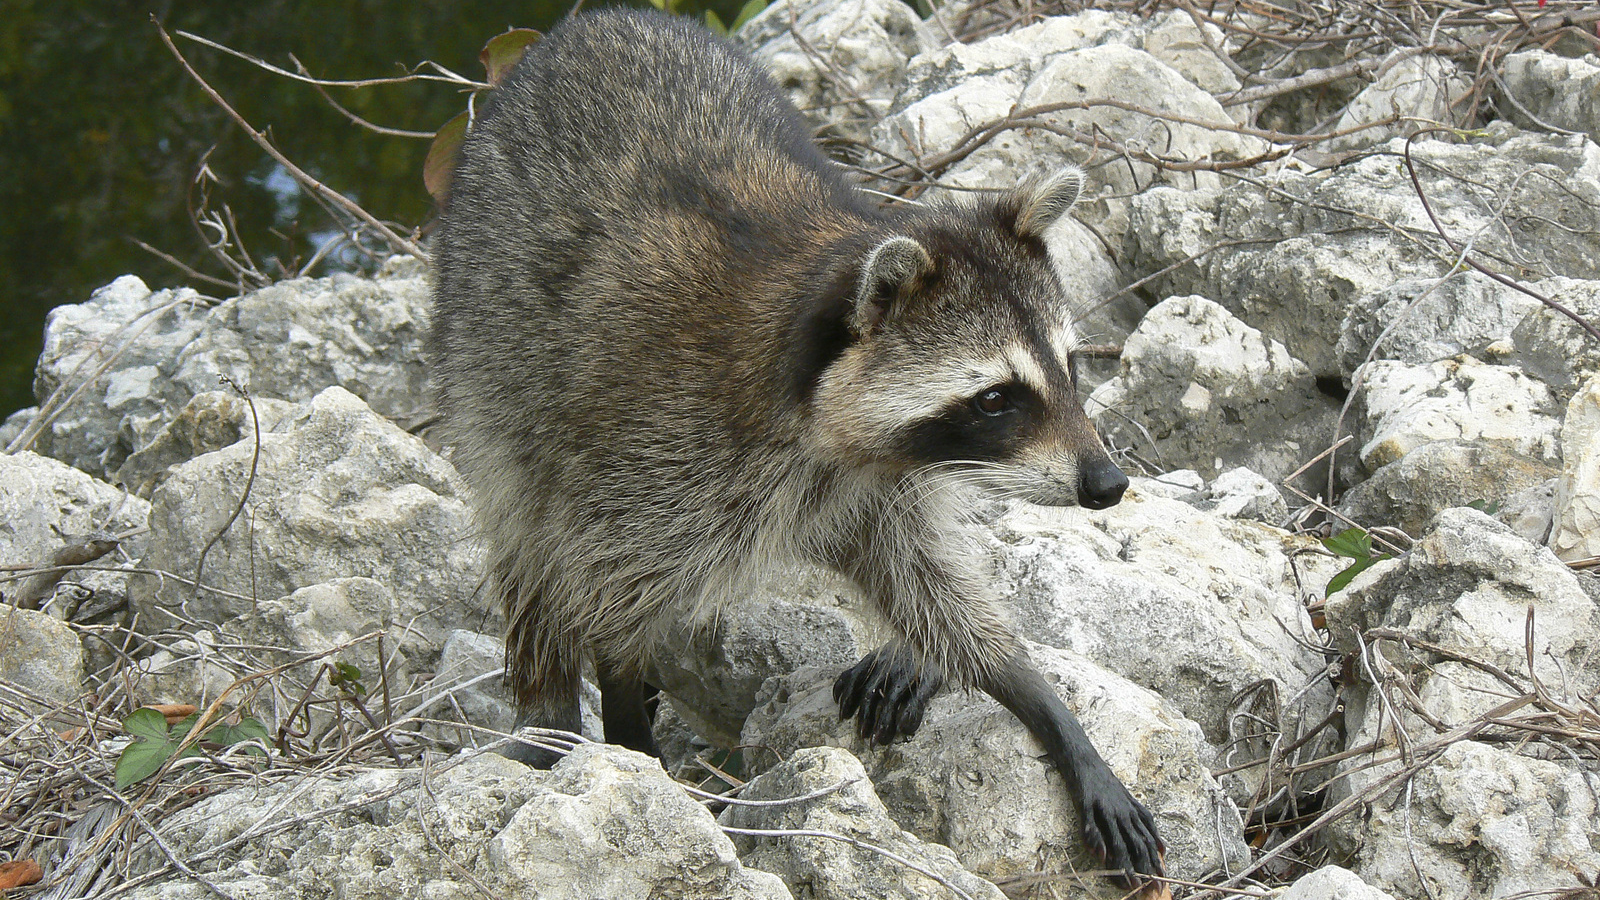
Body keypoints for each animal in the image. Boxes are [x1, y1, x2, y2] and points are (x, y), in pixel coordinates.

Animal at [428, 3, 1164, 877]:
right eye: (995, 399)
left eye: (1071, 368)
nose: (1107, 484)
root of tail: (592, 25)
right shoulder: (652, 448)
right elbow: (603, 589)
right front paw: (629, 731)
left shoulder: (873, 481)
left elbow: (932, 590)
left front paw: (1036, 696)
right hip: (489, 361)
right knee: (526, 536)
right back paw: (548, 717)